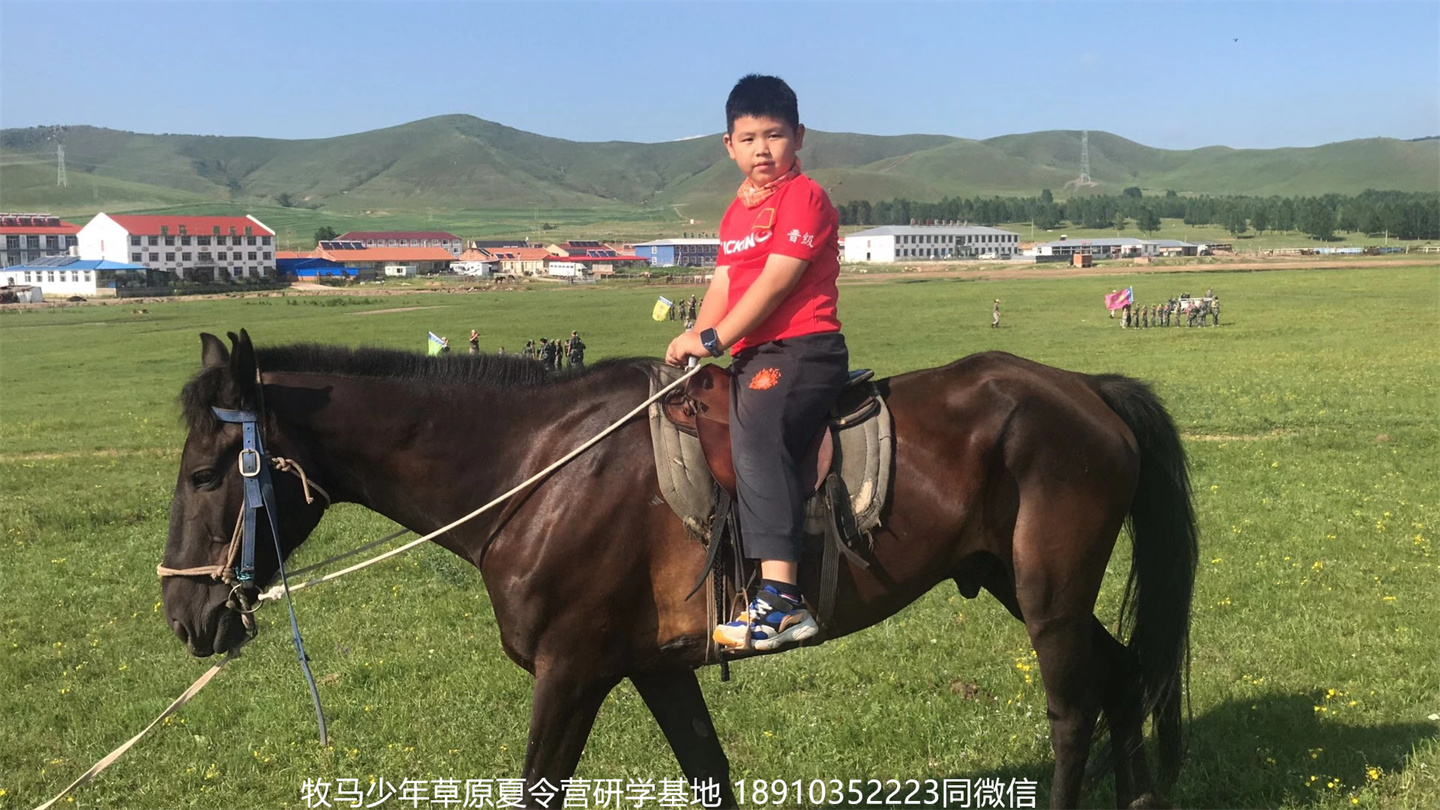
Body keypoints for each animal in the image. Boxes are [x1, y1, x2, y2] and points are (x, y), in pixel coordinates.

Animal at [157, 331, 1198, 801]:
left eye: (206, 473)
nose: (184, 617)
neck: (538, 468)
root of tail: (1083, 389)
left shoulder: (573, 672)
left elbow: (542, 786)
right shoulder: (653, 668)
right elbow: (709, 774)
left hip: (1047, 596)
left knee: (1073, 709)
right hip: (1025, 586)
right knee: (1122, 678)